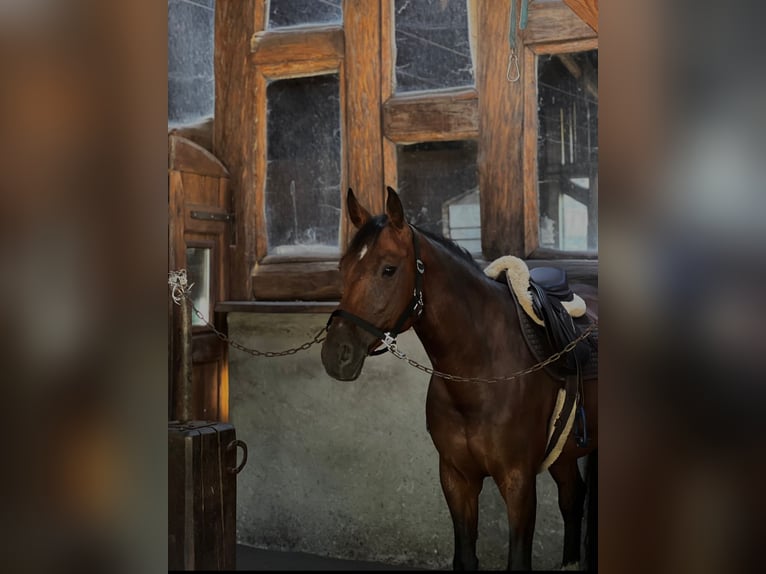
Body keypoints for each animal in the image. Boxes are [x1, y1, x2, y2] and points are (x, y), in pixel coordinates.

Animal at [321, 187, 598, 571]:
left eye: (388, 269)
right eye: (343, 268)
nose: (336, 354)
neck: (480, 375)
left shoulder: (518, 482)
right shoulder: (456, 477)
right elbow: (465, 557)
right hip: (565, 454)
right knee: (573, 498)